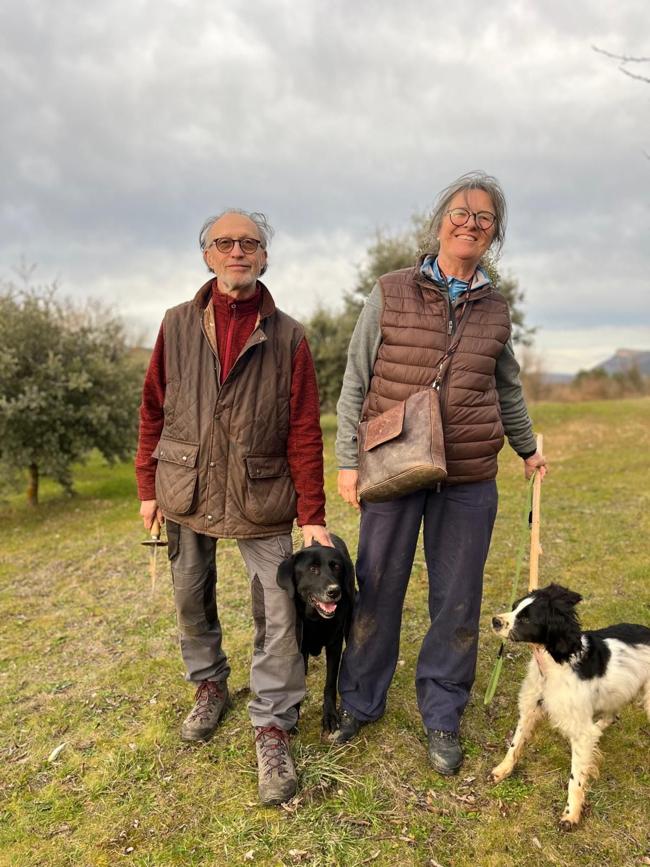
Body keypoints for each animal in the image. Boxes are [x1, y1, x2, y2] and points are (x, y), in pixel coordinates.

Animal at [274, 536, 352, 732]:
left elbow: (330, 683)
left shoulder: (334, 646)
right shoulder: (298, 647)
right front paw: (293, 717)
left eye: (336, 566)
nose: (334, 591)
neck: (316, 619)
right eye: (313, 569)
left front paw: (330, 715)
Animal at [488, 588, 644, 832]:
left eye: (526, 619)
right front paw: (502, 770)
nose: (495, 620)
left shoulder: (581, 733)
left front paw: (571, 815)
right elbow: (515, 744)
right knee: (611, 716)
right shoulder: (530, 708)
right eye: (514, 607)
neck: (553, 664)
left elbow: (575, 778)